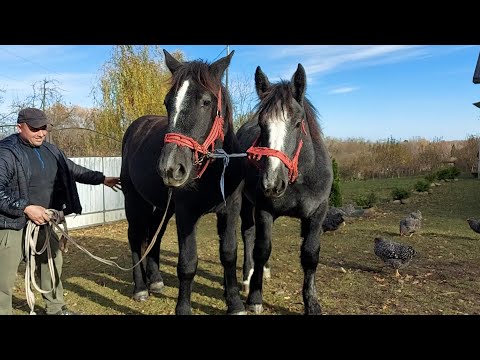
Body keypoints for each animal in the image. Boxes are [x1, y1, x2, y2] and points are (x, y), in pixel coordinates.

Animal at [237, 64, 334, 316]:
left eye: (298, 123)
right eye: (262, 124)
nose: (272, 183)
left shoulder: (318, 213)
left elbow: (310, 254)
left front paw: (312, 303)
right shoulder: (264, 210)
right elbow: (262, 249)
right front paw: (255, 297)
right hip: (244, 203)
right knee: (249, 235)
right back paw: (248, 276)